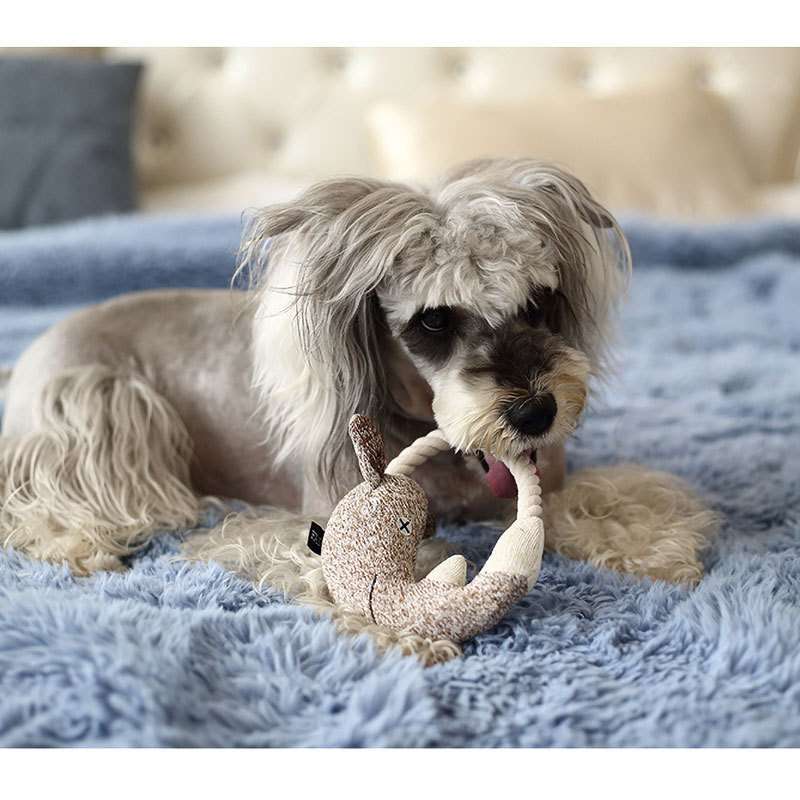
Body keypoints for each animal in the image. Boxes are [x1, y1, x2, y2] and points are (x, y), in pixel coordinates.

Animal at [0, 158, 716, 580]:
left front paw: (654, 543)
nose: (537, 413)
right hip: (101, 408)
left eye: (539, 301)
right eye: (433, 320)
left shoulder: (549, 484)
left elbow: (603, 501)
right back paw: (74, 543)